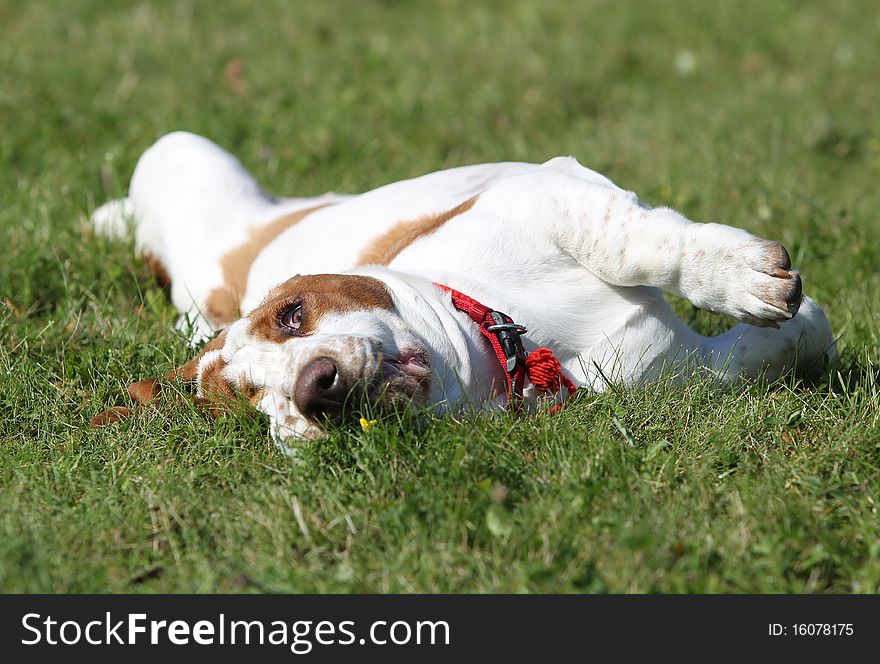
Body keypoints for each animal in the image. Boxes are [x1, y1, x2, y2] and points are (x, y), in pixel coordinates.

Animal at [91, 132, 840, 444]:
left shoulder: (548, 192)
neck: (521, 340)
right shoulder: (679, 371)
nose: (313, 390)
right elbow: (752, 356)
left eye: (293, 315)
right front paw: (804, 330)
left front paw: (745, 278)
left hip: (180, 151)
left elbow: (629, 244)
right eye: (250, 406)